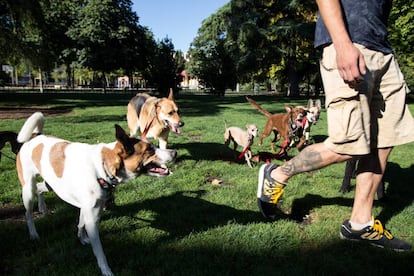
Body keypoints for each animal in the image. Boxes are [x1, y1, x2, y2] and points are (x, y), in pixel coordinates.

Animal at [16, 112, 176, 276]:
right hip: (28, 189)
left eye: (154, 145)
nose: (175, 152)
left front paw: (82, 238)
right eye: (149, 150)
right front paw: (106, 270)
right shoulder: (92, 218)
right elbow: (99, 251)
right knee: (28, 213)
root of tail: (35, 136)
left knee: (40, 188)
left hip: (52, 185)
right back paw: (33, 234)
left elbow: (80, 223)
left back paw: (42, 207)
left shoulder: (89, 209)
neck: (101, 167)